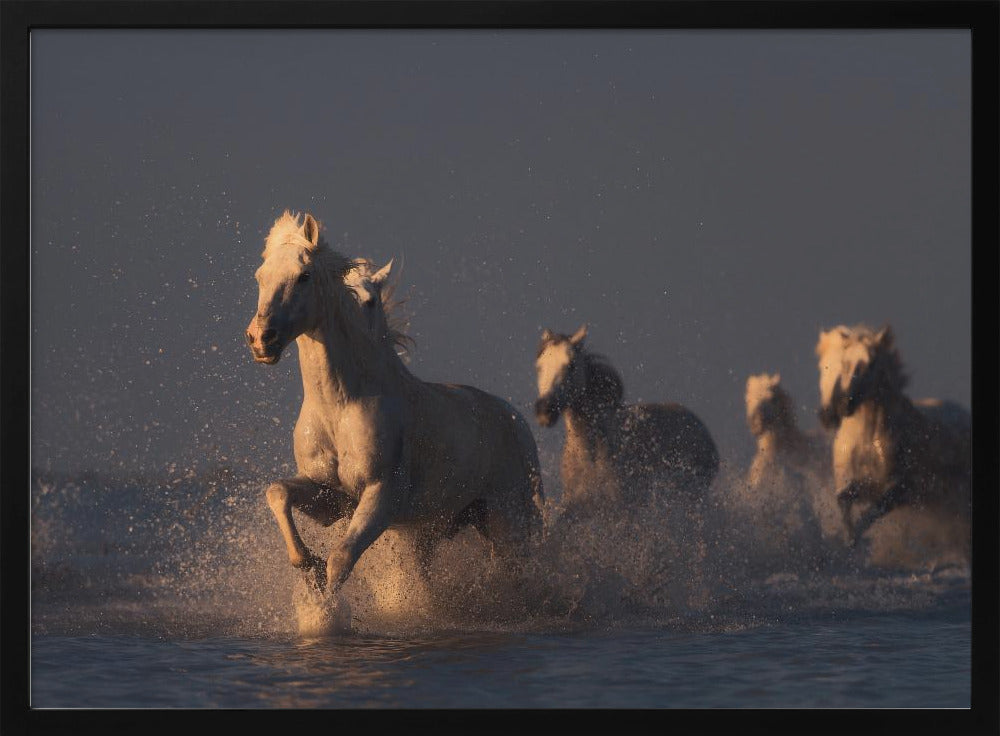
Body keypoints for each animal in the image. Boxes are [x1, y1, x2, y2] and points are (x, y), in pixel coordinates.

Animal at [245, 210, 544, 599]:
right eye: (260, 276)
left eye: (304, 276)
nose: (260, 340)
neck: (340, 406)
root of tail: (517, 421)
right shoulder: (331, 496)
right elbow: (278, 492)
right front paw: (308, 566)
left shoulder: (381, 496)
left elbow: (341, 558)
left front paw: (326, 605)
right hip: (432, 531)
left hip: (508, 520)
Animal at [814, 324, 971, 557]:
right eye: (845, 362)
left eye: (870, 363)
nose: (841, 407)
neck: (867, 440)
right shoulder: (862, 484)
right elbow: (844, 499)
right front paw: (849, 540)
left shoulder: (901, 490)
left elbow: (874, 510)